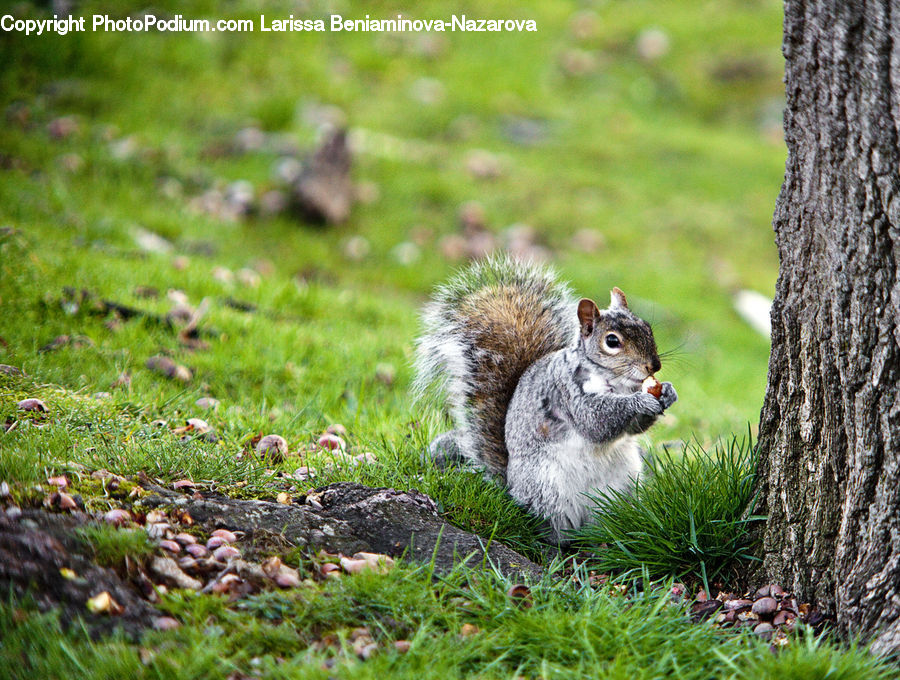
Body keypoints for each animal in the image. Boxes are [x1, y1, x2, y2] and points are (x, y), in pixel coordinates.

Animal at [414, 258, 676, 544]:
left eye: (647, 328)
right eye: (612, 341)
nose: (654, 366)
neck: (617, 382)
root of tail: (511, 484)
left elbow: (633, 427)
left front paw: (667, 392)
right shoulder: (567, 393)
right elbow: (596, 421)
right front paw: (639, 401)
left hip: (622, 485)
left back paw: (604, 537)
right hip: (546, 488)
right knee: (552, 524)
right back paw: (559, 542)